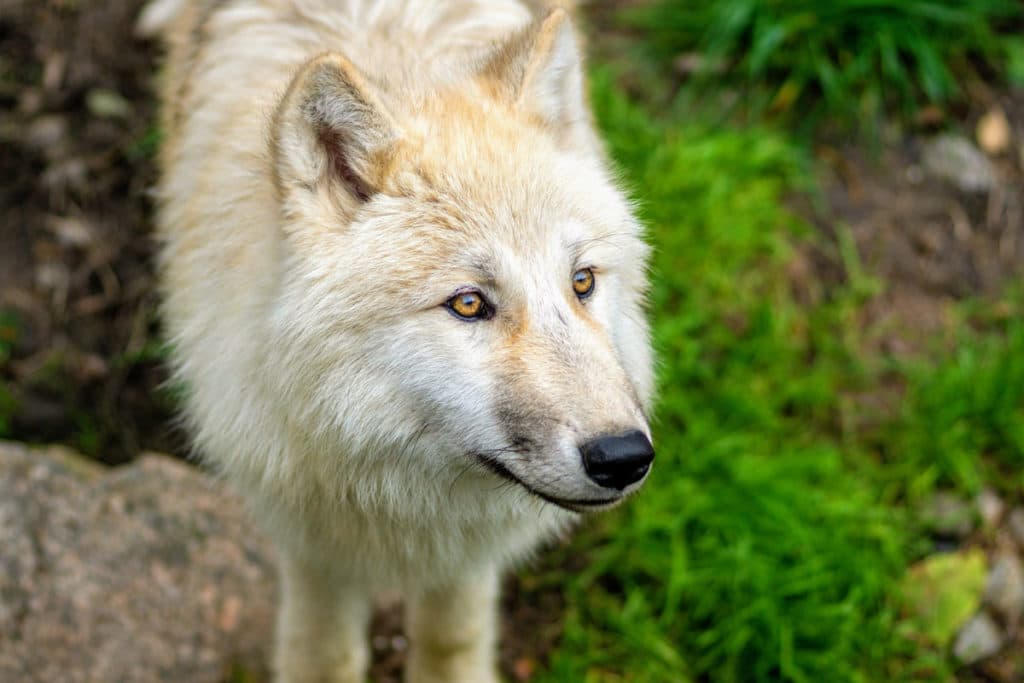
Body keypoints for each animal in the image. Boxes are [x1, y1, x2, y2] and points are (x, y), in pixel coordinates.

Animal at [138, 0, 655, 679]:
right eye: (469, 303)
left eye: (582, 281)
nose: (624, 456)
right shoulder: (311, 541)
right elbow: (323, 652)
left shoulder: (465, 556)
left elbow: (451, 639)